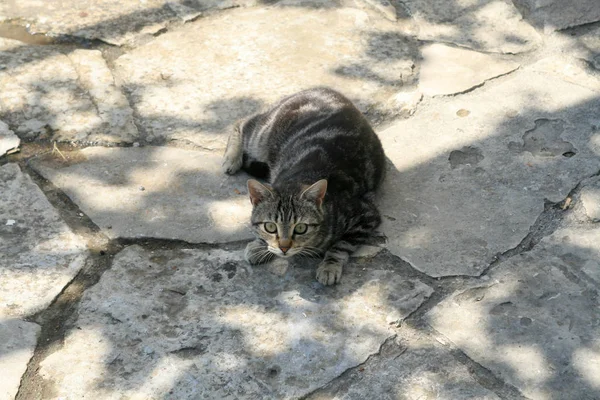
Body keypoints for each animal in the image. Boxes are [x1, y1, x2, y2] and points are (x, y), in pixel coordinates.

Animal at [223, 89, 386, 286]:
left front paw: (329, 266)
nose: (284, 247)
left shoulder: (366, 215)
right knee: (241, 122)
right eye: (270, 227)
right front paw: (259, 245)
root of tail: (323, 89)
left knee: (243, 122)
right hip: (262, 136)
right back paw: (231, 159)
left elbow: (341, 245)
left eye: (301, 228)